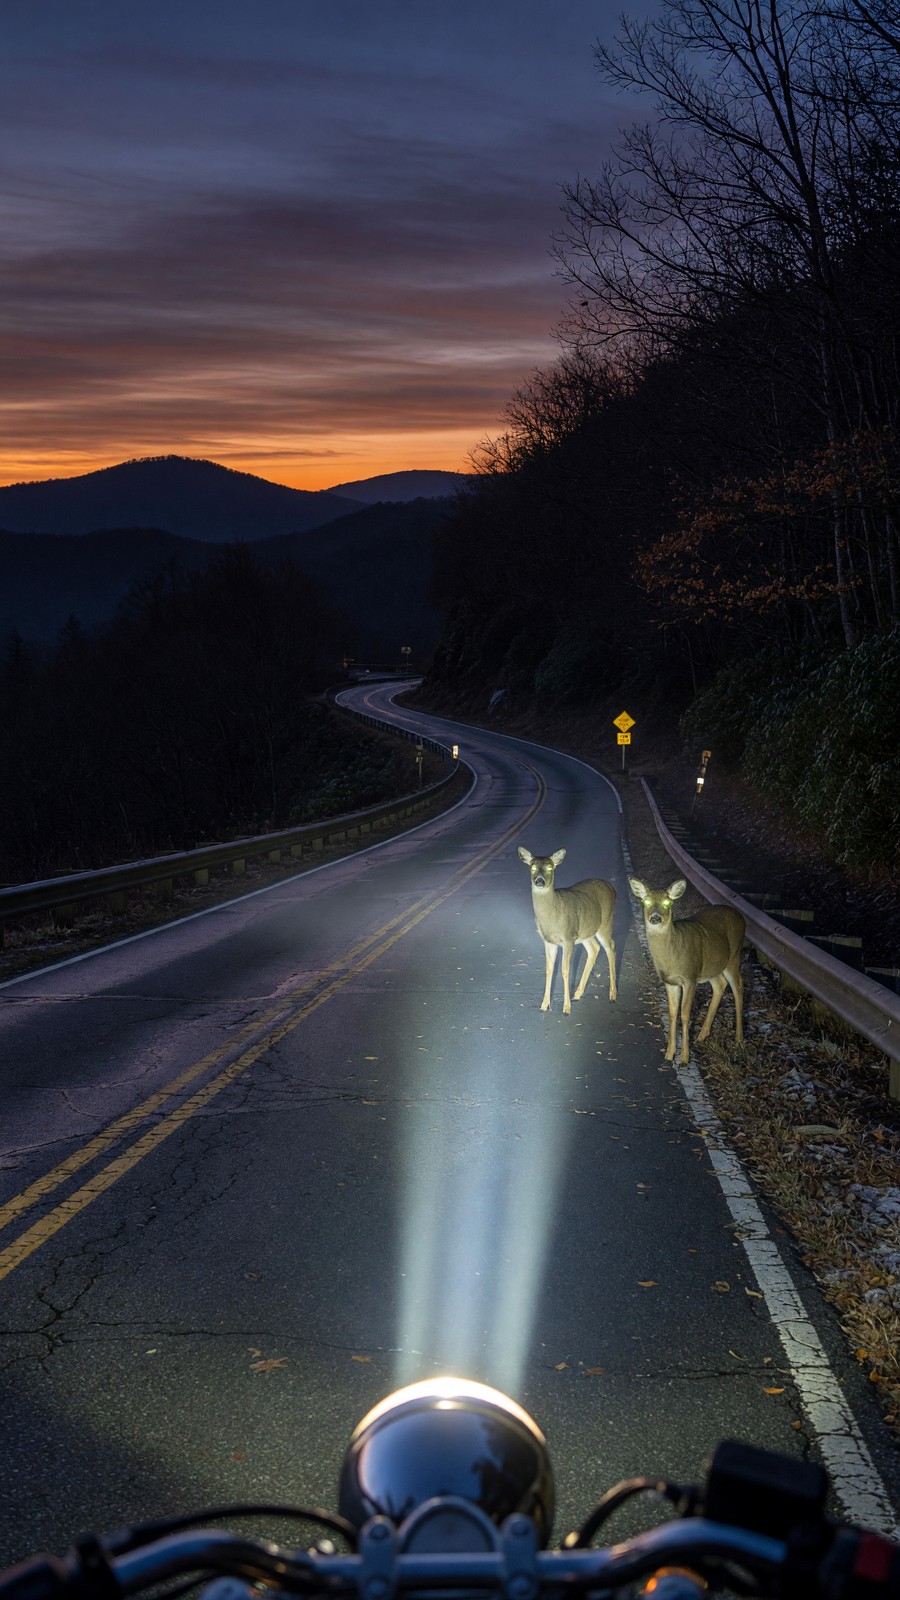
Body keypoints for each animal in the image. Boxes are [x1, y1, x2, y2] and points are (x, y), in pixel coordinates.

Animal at [518, 846, 617, 1014]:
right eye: (532, 867)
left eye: (550, 868)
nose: (539, 881)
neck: (552, 917)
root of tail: (612, 887)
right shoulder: (549, 941)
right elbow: (549, 969)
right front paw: (544, 1005)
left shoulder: (568, 938)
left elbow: (565, 970)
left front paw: (566, 1008)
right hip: (586, 931)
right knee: (595, 949)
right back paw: (577, 993)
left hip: (605, 922)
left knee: (611, 949)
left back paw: (613, 995)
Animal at [628, 877, 745, 1063]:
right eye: (646, 901)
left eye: (667, 902)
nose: (655, 918)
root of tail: (741, 917)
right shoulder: (670, 982)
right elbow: (672, 1013)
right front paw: (669, 1054)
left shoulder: (690, 977)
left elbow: (684, 1014)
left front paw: (684, 1057)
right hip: (712, 966)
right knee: (720, 984)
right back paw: (702, 1035)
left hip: (734, 955)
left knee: (739, 987)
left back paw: (739, 1039)